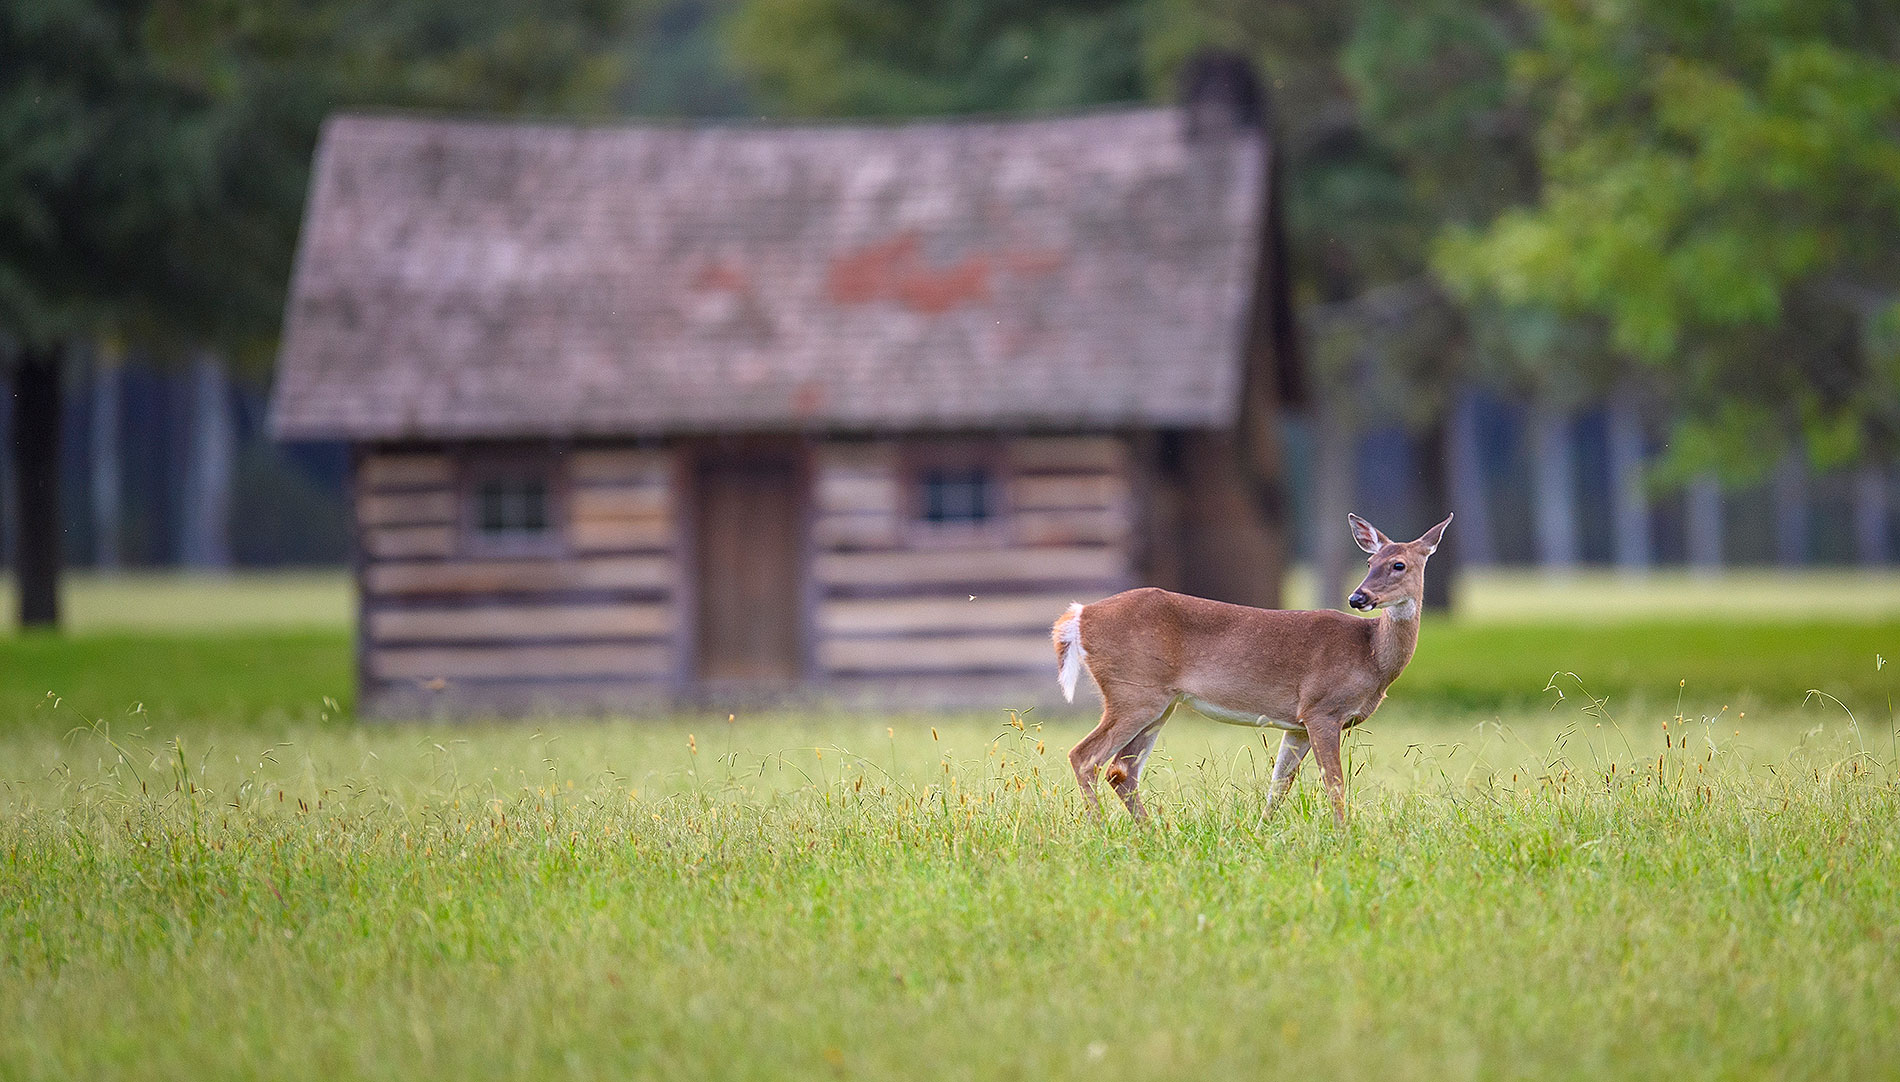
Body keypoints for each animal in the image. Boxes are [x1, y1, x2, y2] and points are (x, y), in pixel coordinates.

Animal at [1056, 509, 1451, 821]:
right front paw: (1344, 836)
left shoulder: (1298, 723)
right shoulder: (1322, 709)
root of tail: (1079, 615)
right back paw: (1102, 829)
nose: (1358, 597)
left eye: (1398, 564)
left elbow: (1279, 785)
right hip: (1133, 692)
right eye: (1369, 563)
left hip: (1159, 702)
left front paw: (1262, 832)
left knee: (1122, 769)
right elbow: (1334, 783)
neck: (1370, 654)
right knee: (1085, 757)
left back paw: (1151, 832)